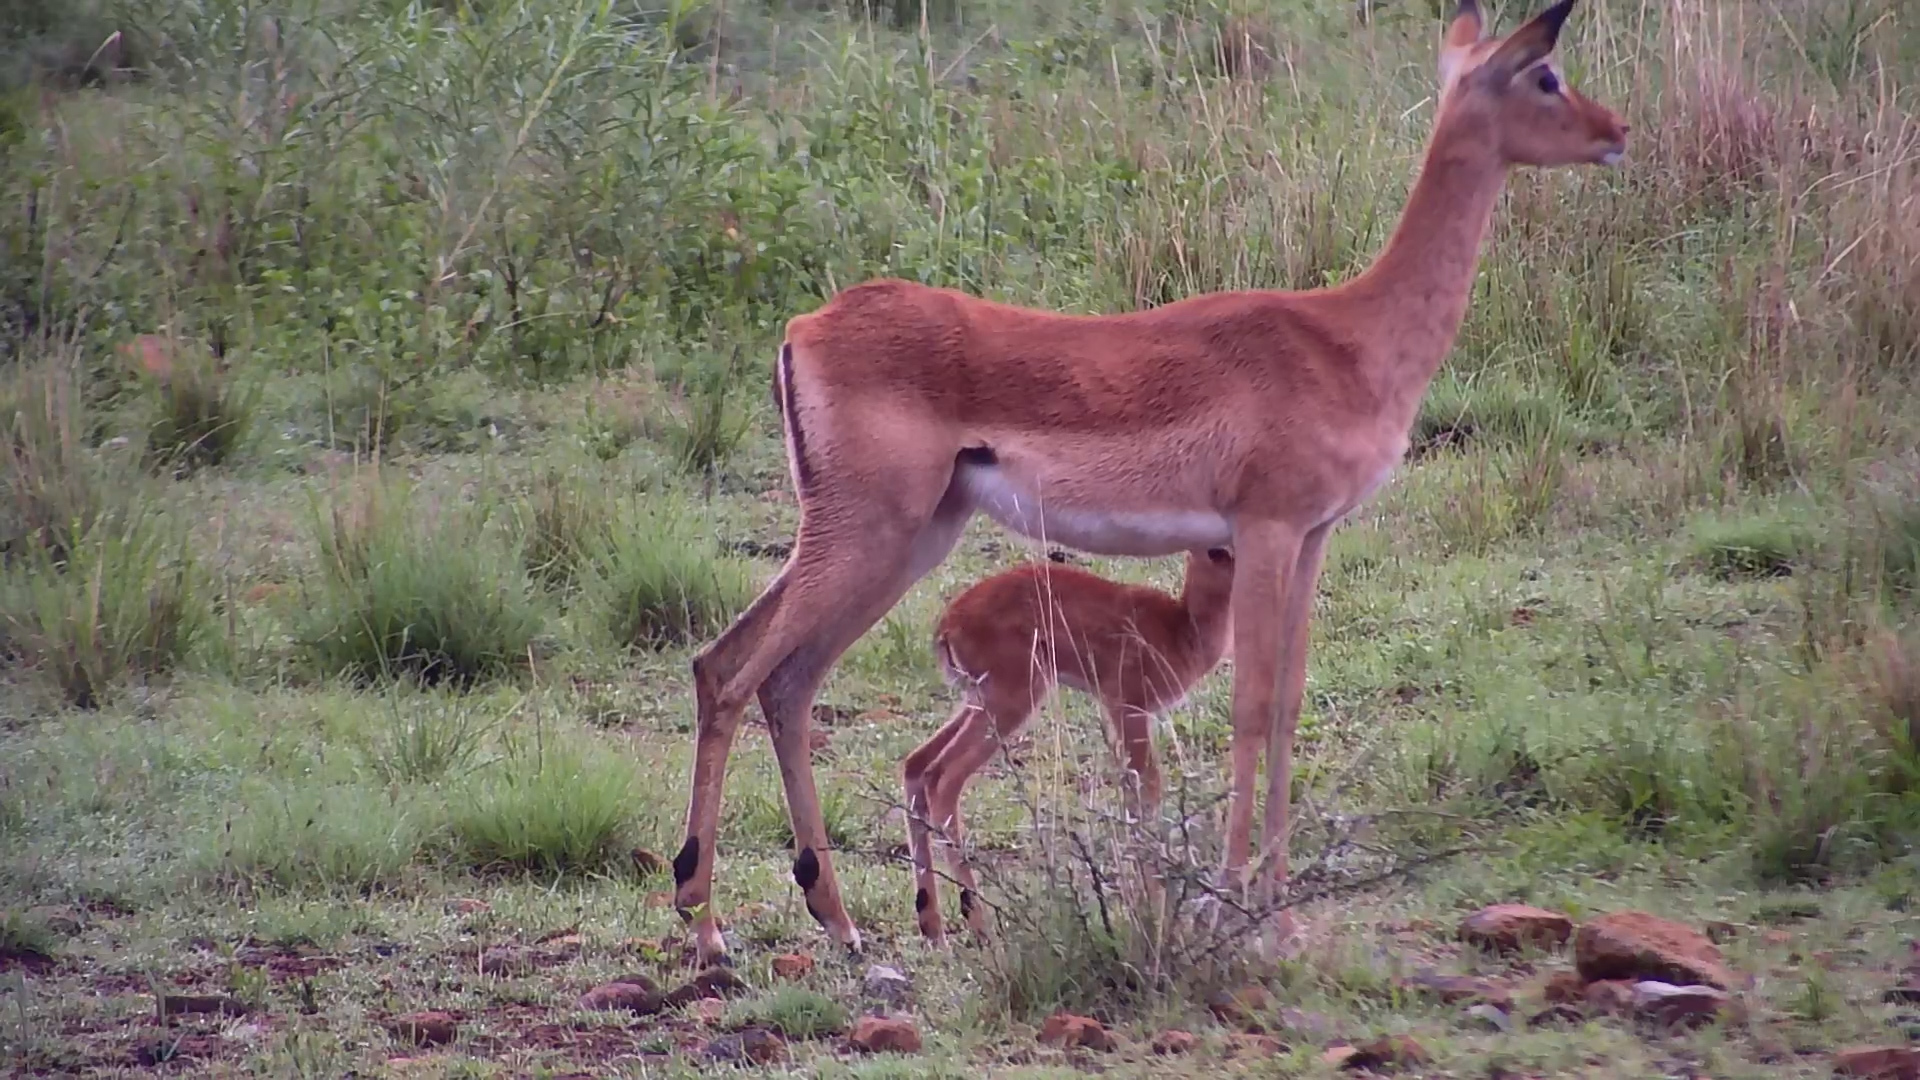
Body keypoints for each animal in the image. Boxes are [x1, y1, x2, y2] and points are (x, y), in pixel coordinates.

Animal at [904, 547, 1236, 943]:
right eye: (1216, 551)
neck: (1182, 627)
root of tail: (948, 625)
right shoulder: (1127, 708)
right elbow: (1146, 788)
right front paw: (1154, 915)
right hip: (1010, 702)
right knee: (944, 777)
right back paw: (981, 927)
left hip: (977, 703)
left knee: (916, 764)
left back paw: (933, 927)